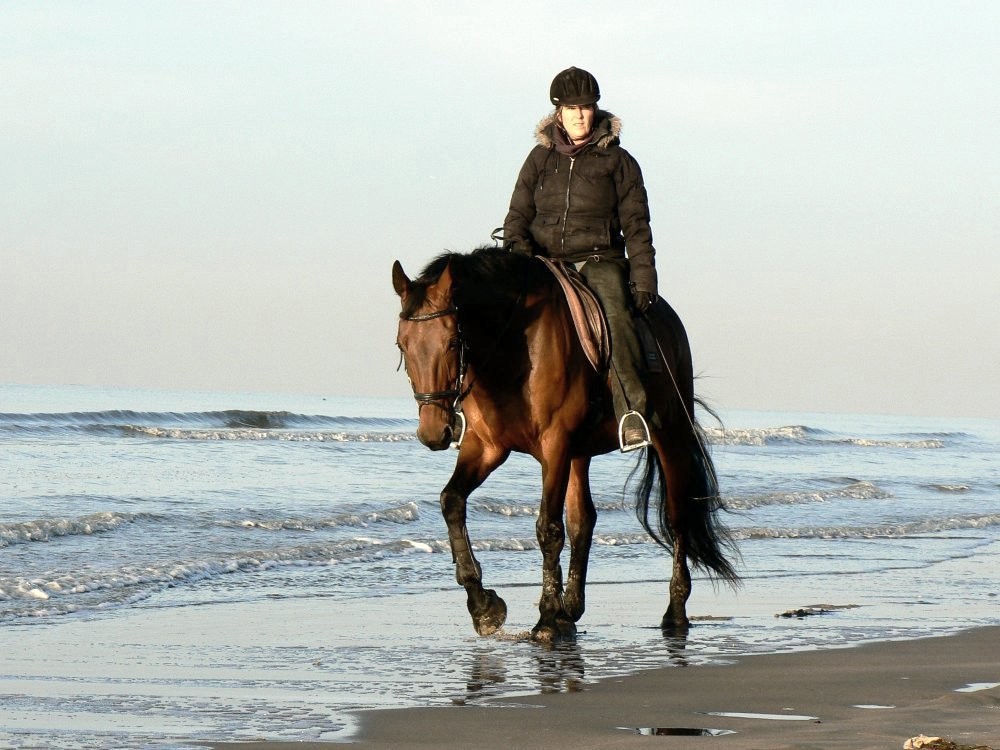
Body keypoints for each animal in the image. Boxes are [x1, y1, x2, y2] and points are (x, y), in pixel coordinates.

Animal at [394, 250, 740, 644]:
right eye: (402, 345)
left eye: (452, 342)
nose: (433, 431)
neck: (513, 348)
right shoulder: (486, 447)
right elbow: (451, 501)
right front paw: (484, 606)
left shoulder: (554, 446)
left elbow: (548, 528)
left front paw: (546, 617)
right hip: (580, 453)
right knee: (583, 520)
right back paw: (571, 609)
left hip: (670, 436)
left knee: (677, 515)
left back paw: (675, 612)